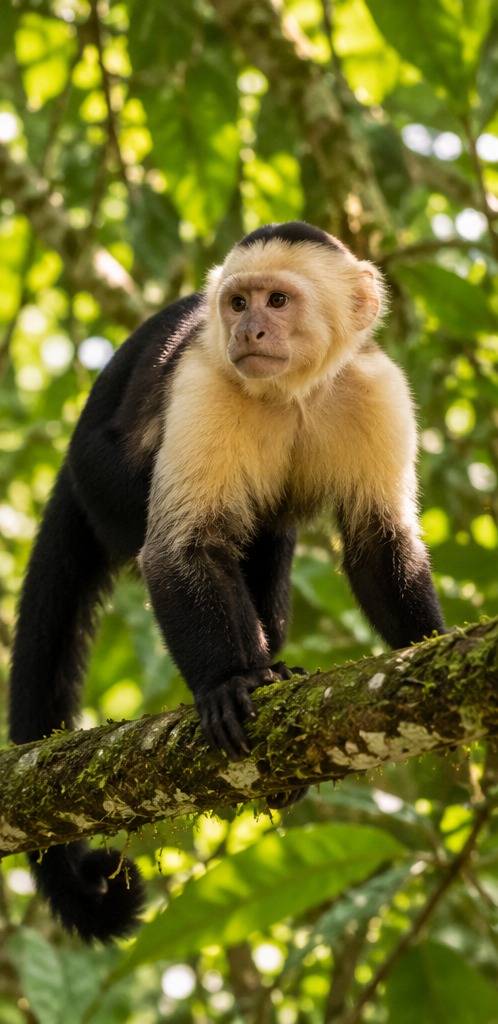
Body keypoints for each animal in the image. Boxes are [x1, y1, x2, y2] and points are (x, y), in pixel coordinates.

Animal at [9, 221, 446, 942]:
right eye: (238, 303)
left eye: (277, 300)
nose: (249, 330)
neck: (294, 391)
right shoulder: (204, 384)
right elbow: (181, 548)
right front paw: (227, 683)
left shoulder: (377, 389)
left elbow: (378, 546)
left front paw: (430, 651)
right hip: (98, 476)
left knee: (271, 540)